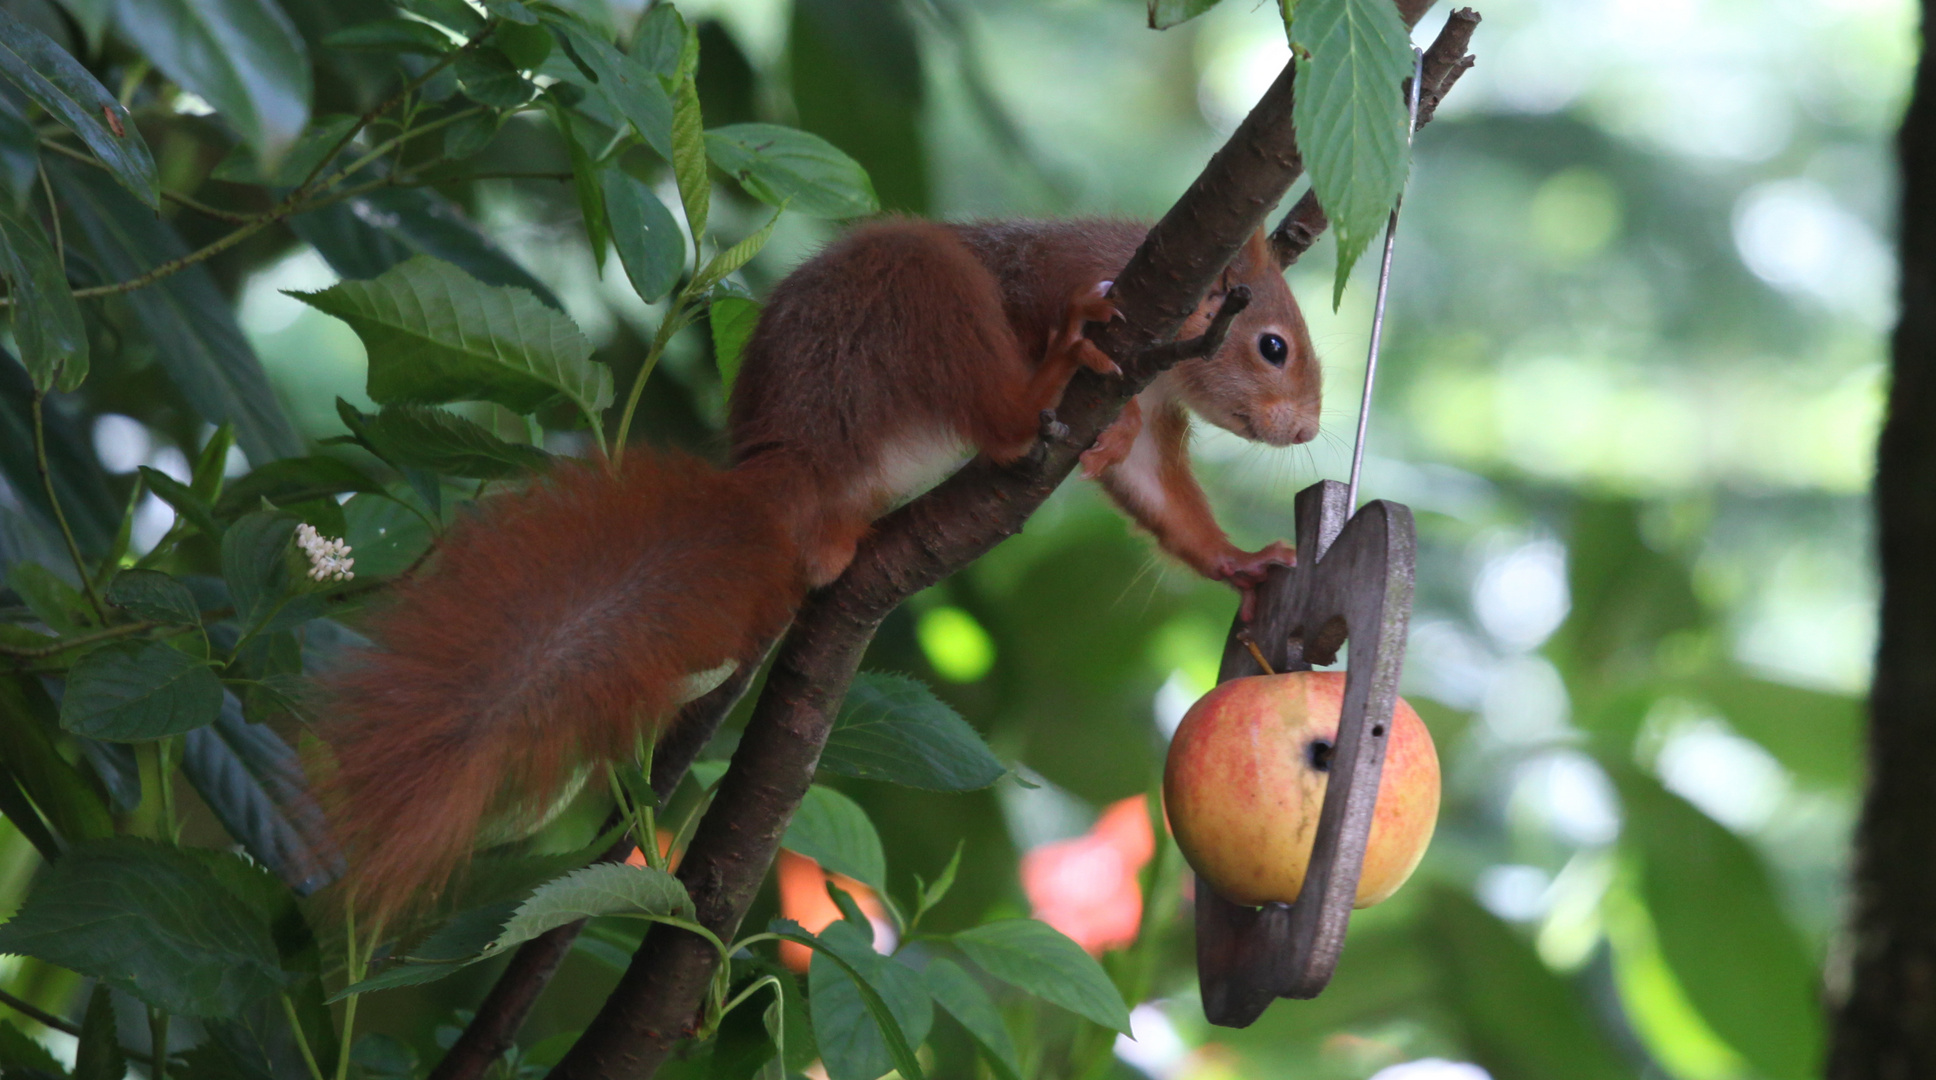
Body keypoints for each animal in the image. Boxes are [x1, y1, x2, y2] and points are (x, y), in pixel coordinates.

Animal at [321, 215, 1316, 917]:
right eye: (1273, 345)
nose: (1308, 429)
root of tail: (791, 469)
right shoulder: (1085, 274)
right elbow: (1063, 312)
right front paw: (1092, 362)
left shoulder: (1152, 415)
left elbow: (1160, 495)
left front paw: (1244, 562)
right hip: (910, 301)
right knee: (995, 413)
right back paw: (1048, 370)